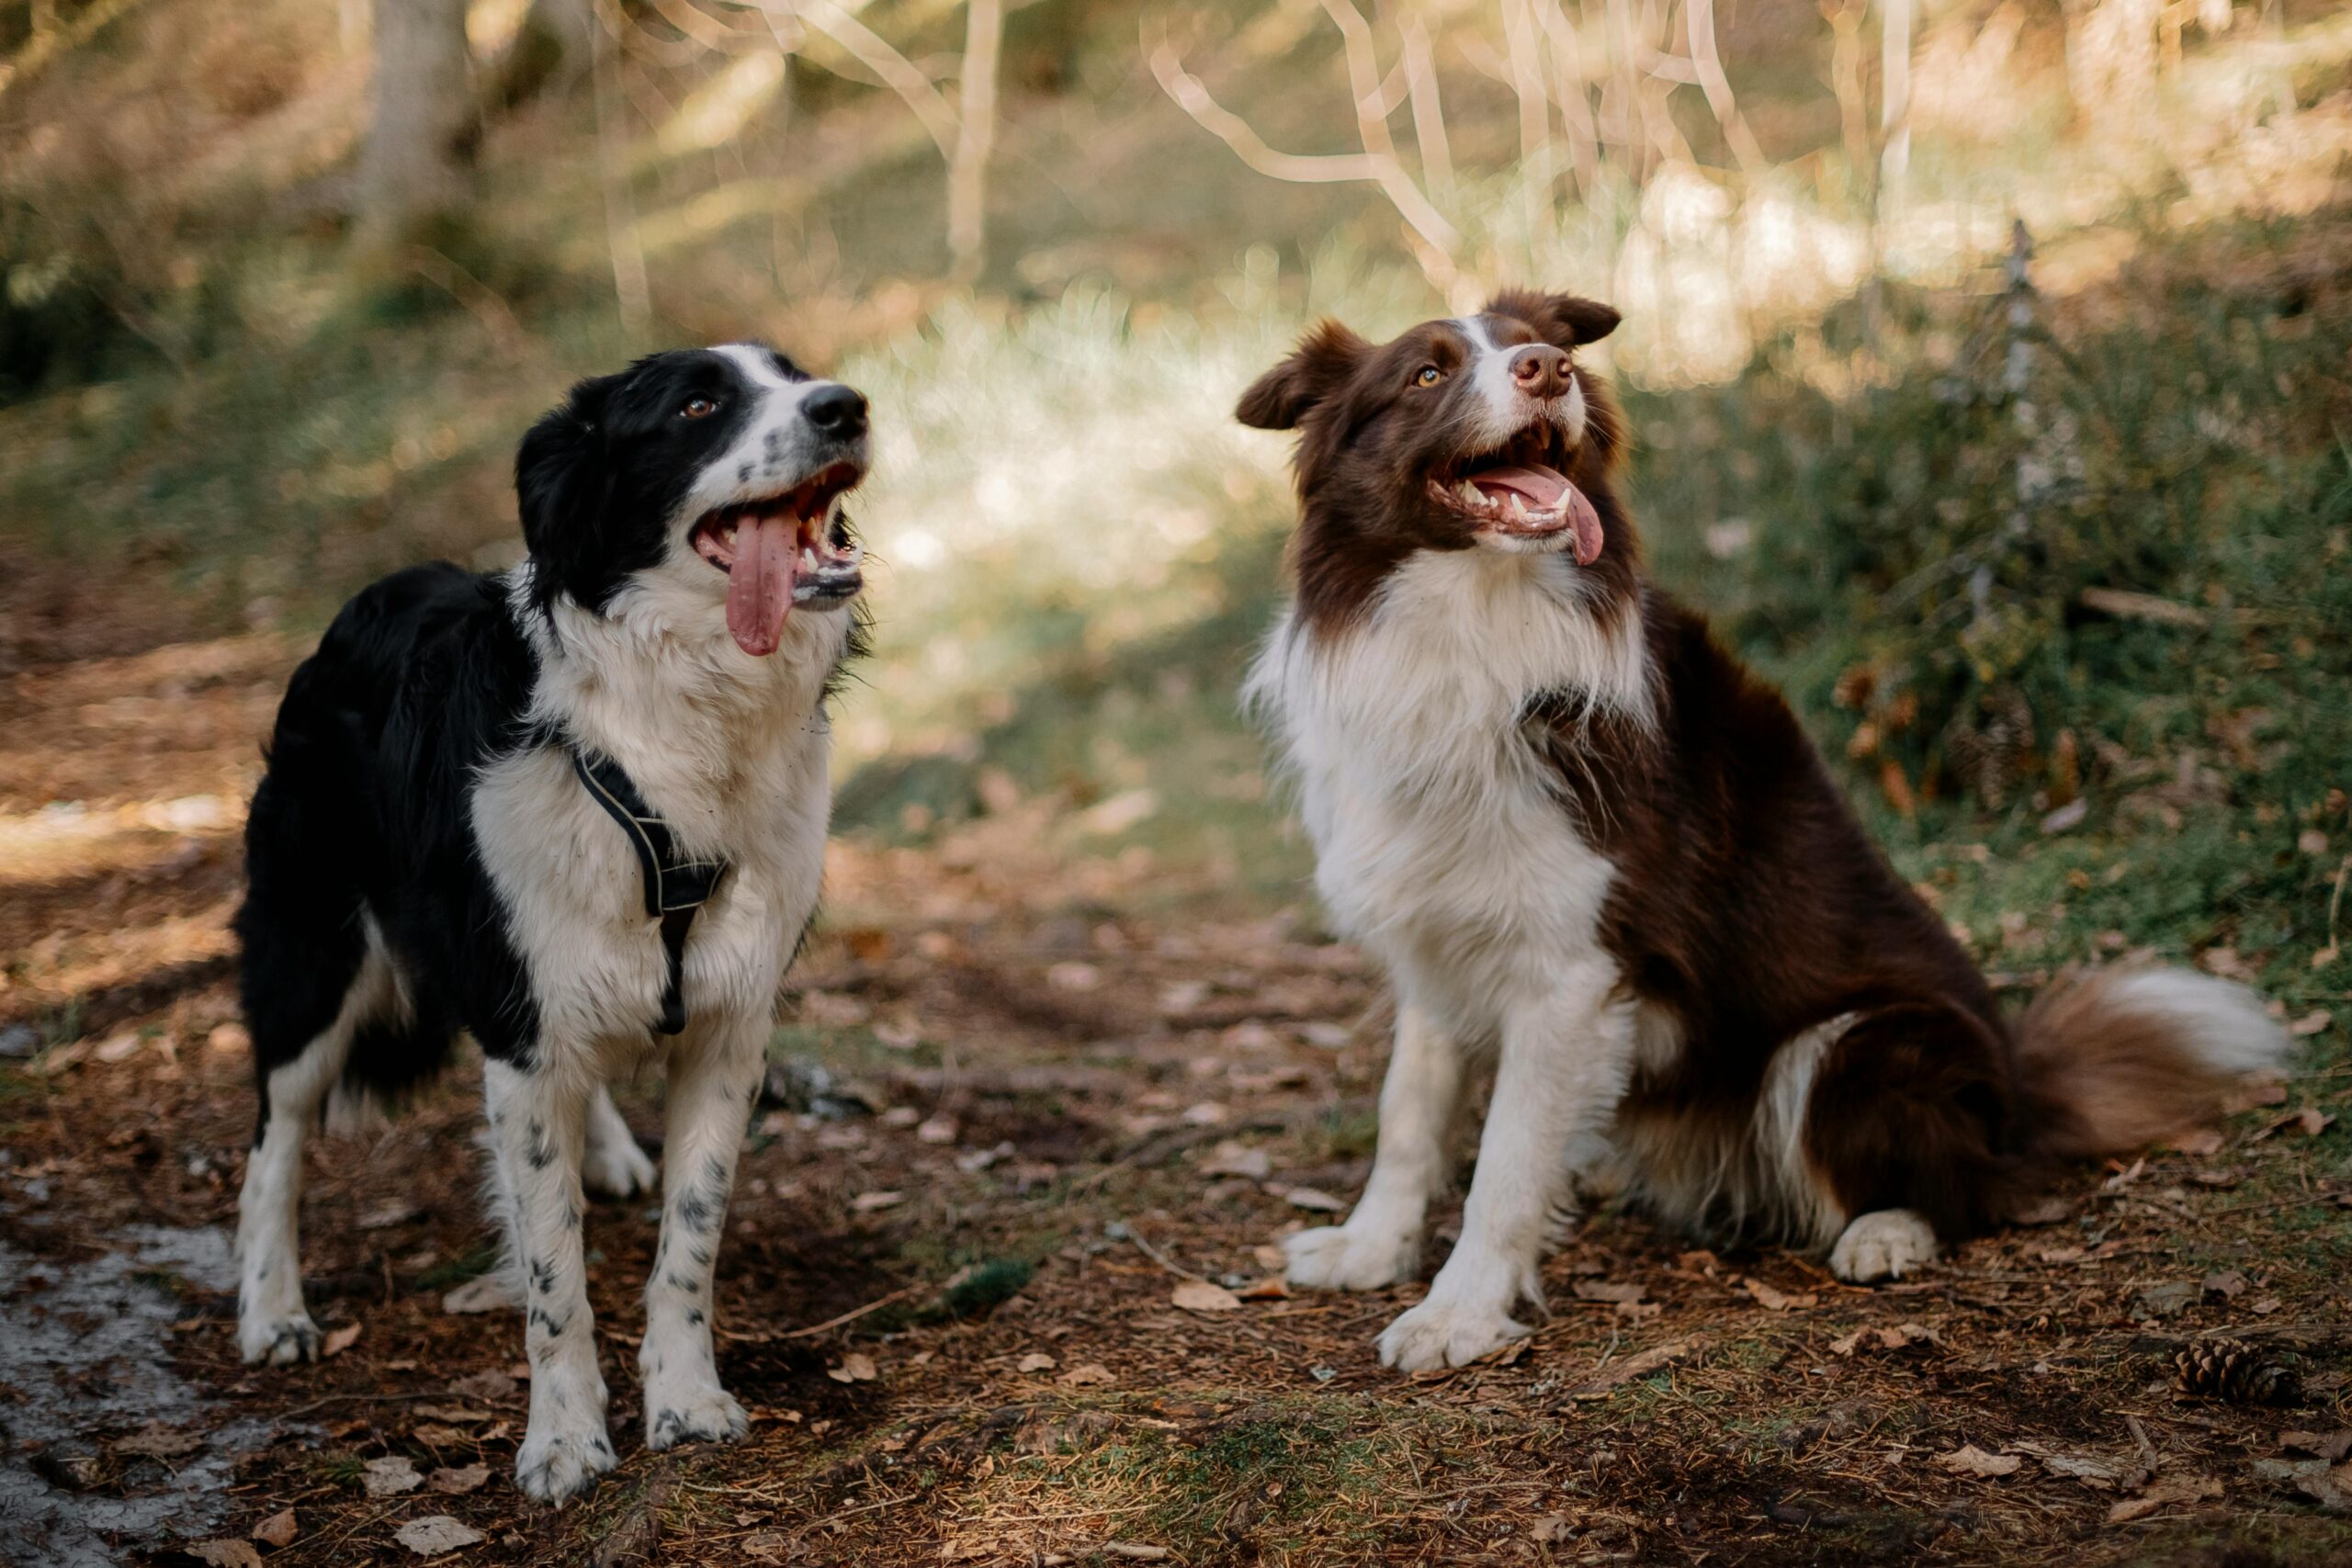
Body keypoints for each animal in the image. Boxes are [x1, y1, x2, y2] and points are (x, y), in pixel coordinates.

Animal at [229, 345, 870, 1504]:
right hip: (316, 951)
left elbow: (690, 1239)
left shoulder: (728, 1022)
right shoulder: (522, 1034)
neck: (671, 724)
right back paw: (272, 1307)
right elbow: (551, 1273)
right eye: (698, 405)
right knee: (276, 1131)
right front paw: (565, 1438)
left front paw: (685, 1401)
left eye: (798, 376)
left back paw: (607, 1147)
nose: (846, 406)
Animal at [1241, 293, 2286, 1372]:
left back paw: (1886, 1231)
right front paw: (1370, 1248)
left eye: (1550, 349)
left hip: (1851, 1046)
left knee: (1968, 1190)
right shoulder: (1433, 935)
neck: (1469, 630)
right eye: (1426, 375)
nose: (1547, 370)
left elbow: (1504, 1160)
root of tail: (2015, 1098)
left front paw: (1458, 1312)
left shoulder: (1573, 968)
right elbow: (1407, 1111)